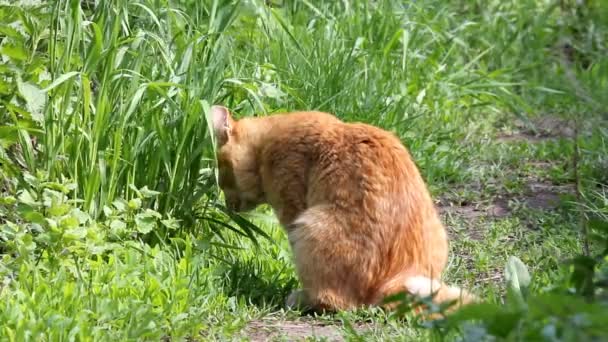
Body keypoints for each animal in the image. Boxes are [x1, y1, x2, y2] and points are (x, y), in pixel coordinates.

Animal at [211, 105, 472, 314]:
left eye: (221, 176)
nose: (226, 205)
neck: (265, 145)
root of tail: (394, 280)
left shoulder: (292, 207)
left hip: (310, 226)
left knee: (337, 302)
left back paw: (299, 299)